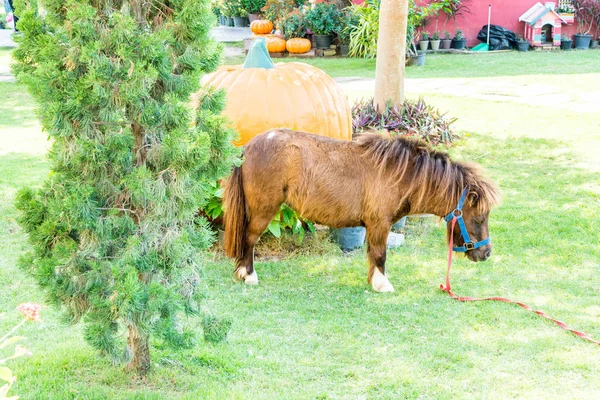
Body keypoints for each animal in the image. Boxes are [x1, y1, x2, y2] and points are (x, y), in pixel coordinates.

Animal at [223, 130, 500, 292]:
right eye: (479, 217)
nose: (486, 253)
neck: (400, 174)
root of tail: (248, 147)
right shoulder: (380, 224)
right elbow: (380, 254)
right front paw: (382, 284)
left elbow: (372, 255)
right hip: (264, 210)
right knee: (250, 238)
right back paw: (248, 275)